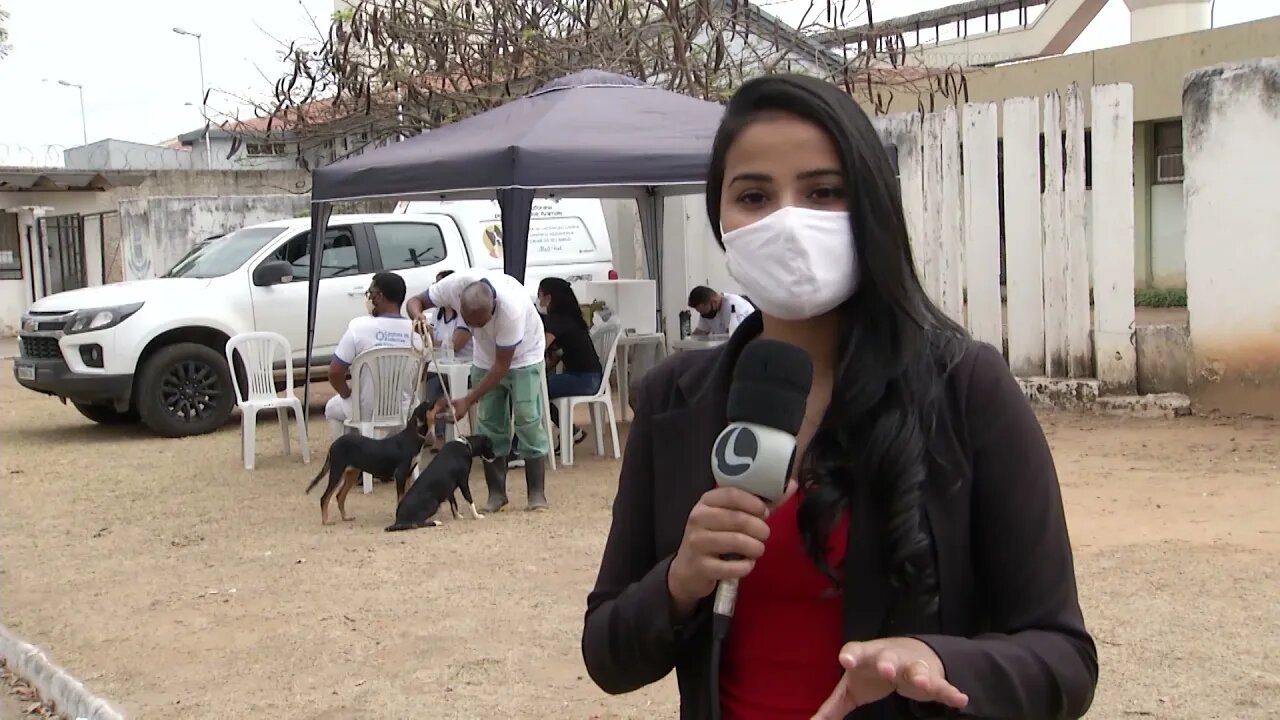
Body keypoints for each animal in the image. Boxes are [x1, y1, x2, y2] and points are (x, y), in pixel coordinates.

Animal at [305, 397, 435, 520]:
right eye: (428, 404)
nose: (434, 398)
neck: (411, 437)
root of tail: (334, 444)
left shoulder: (407, 474)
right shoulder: (401, 475)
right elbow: (400, 499)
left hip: (351, 474)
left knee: (339, 496)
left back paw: (345, 517)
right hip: (337, 472)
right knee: (325, 498)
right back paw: (325, 521)